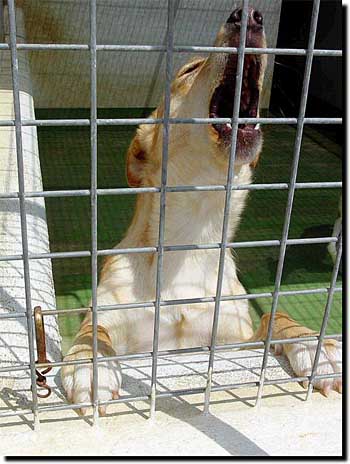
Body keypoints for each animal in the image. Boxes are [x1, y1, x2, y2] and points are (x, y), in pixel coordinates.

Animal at [60, 7, 342, 416]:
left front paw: (312, 343)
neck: (193, 236)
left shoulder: (235, 343)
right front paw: (89, 361)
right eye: (190, 69)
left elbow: (274, 315)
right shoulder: (113, 320)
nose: (248, 15)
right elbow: (92, 330)